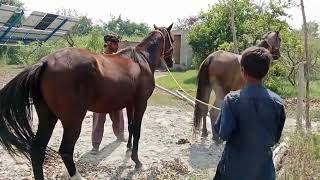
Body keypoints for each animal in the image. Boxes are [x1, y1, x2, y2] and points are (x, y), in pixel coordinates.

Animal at [0, 23, 174, 179]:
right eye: (172, 39)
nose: (171, 62)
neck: (140, 60)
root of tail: (45, 63)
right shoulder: (141, 104)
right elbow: (137, 130)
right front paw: (137, 161)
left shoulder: (130, 105)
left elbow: (131, 127)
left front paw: (128, 149)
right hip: (73, 121)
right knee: (65, 151)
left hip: (48, 118)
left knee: (37, 151)